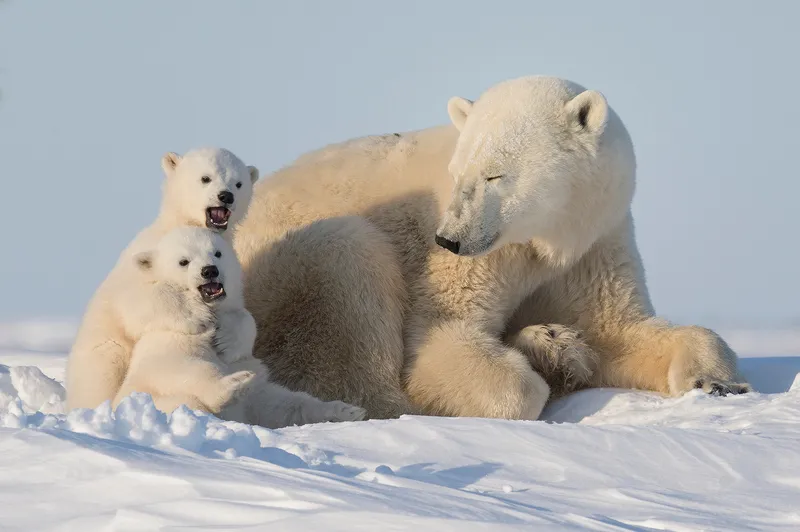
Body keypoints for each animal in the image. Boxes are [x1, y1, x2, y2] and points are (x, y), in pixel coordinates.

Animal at [66, 147, 259, 410]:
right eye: (206, 178)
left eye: (238, 183)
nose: (226, 196)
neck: (178, 225)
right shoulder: (145, 259)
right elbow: (137, 301)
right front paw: (197, 317)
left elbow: (243, 313)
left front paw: (227, 338)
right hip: (103, 357)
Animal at [112, 226, 367, 427]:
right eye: (183, 261)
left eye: (217, 253)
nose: (209, 270)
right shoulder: (166, 352)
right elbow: (187, 370)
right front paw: (233, 382)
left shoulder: (249, 375)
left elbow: (278, 404)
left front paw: (347, 410)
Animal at [232, 75, 750, 421]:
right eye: (458, 171)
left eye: (495, 175)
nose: (448, 238)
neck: (546, 237)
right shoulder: (475, 260)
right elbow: (442, 341)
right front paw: (537, 372)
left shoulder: (595, 241)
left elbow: (619, 329)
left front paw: (716, 382)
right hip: (276, 277)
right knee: (345, 264)